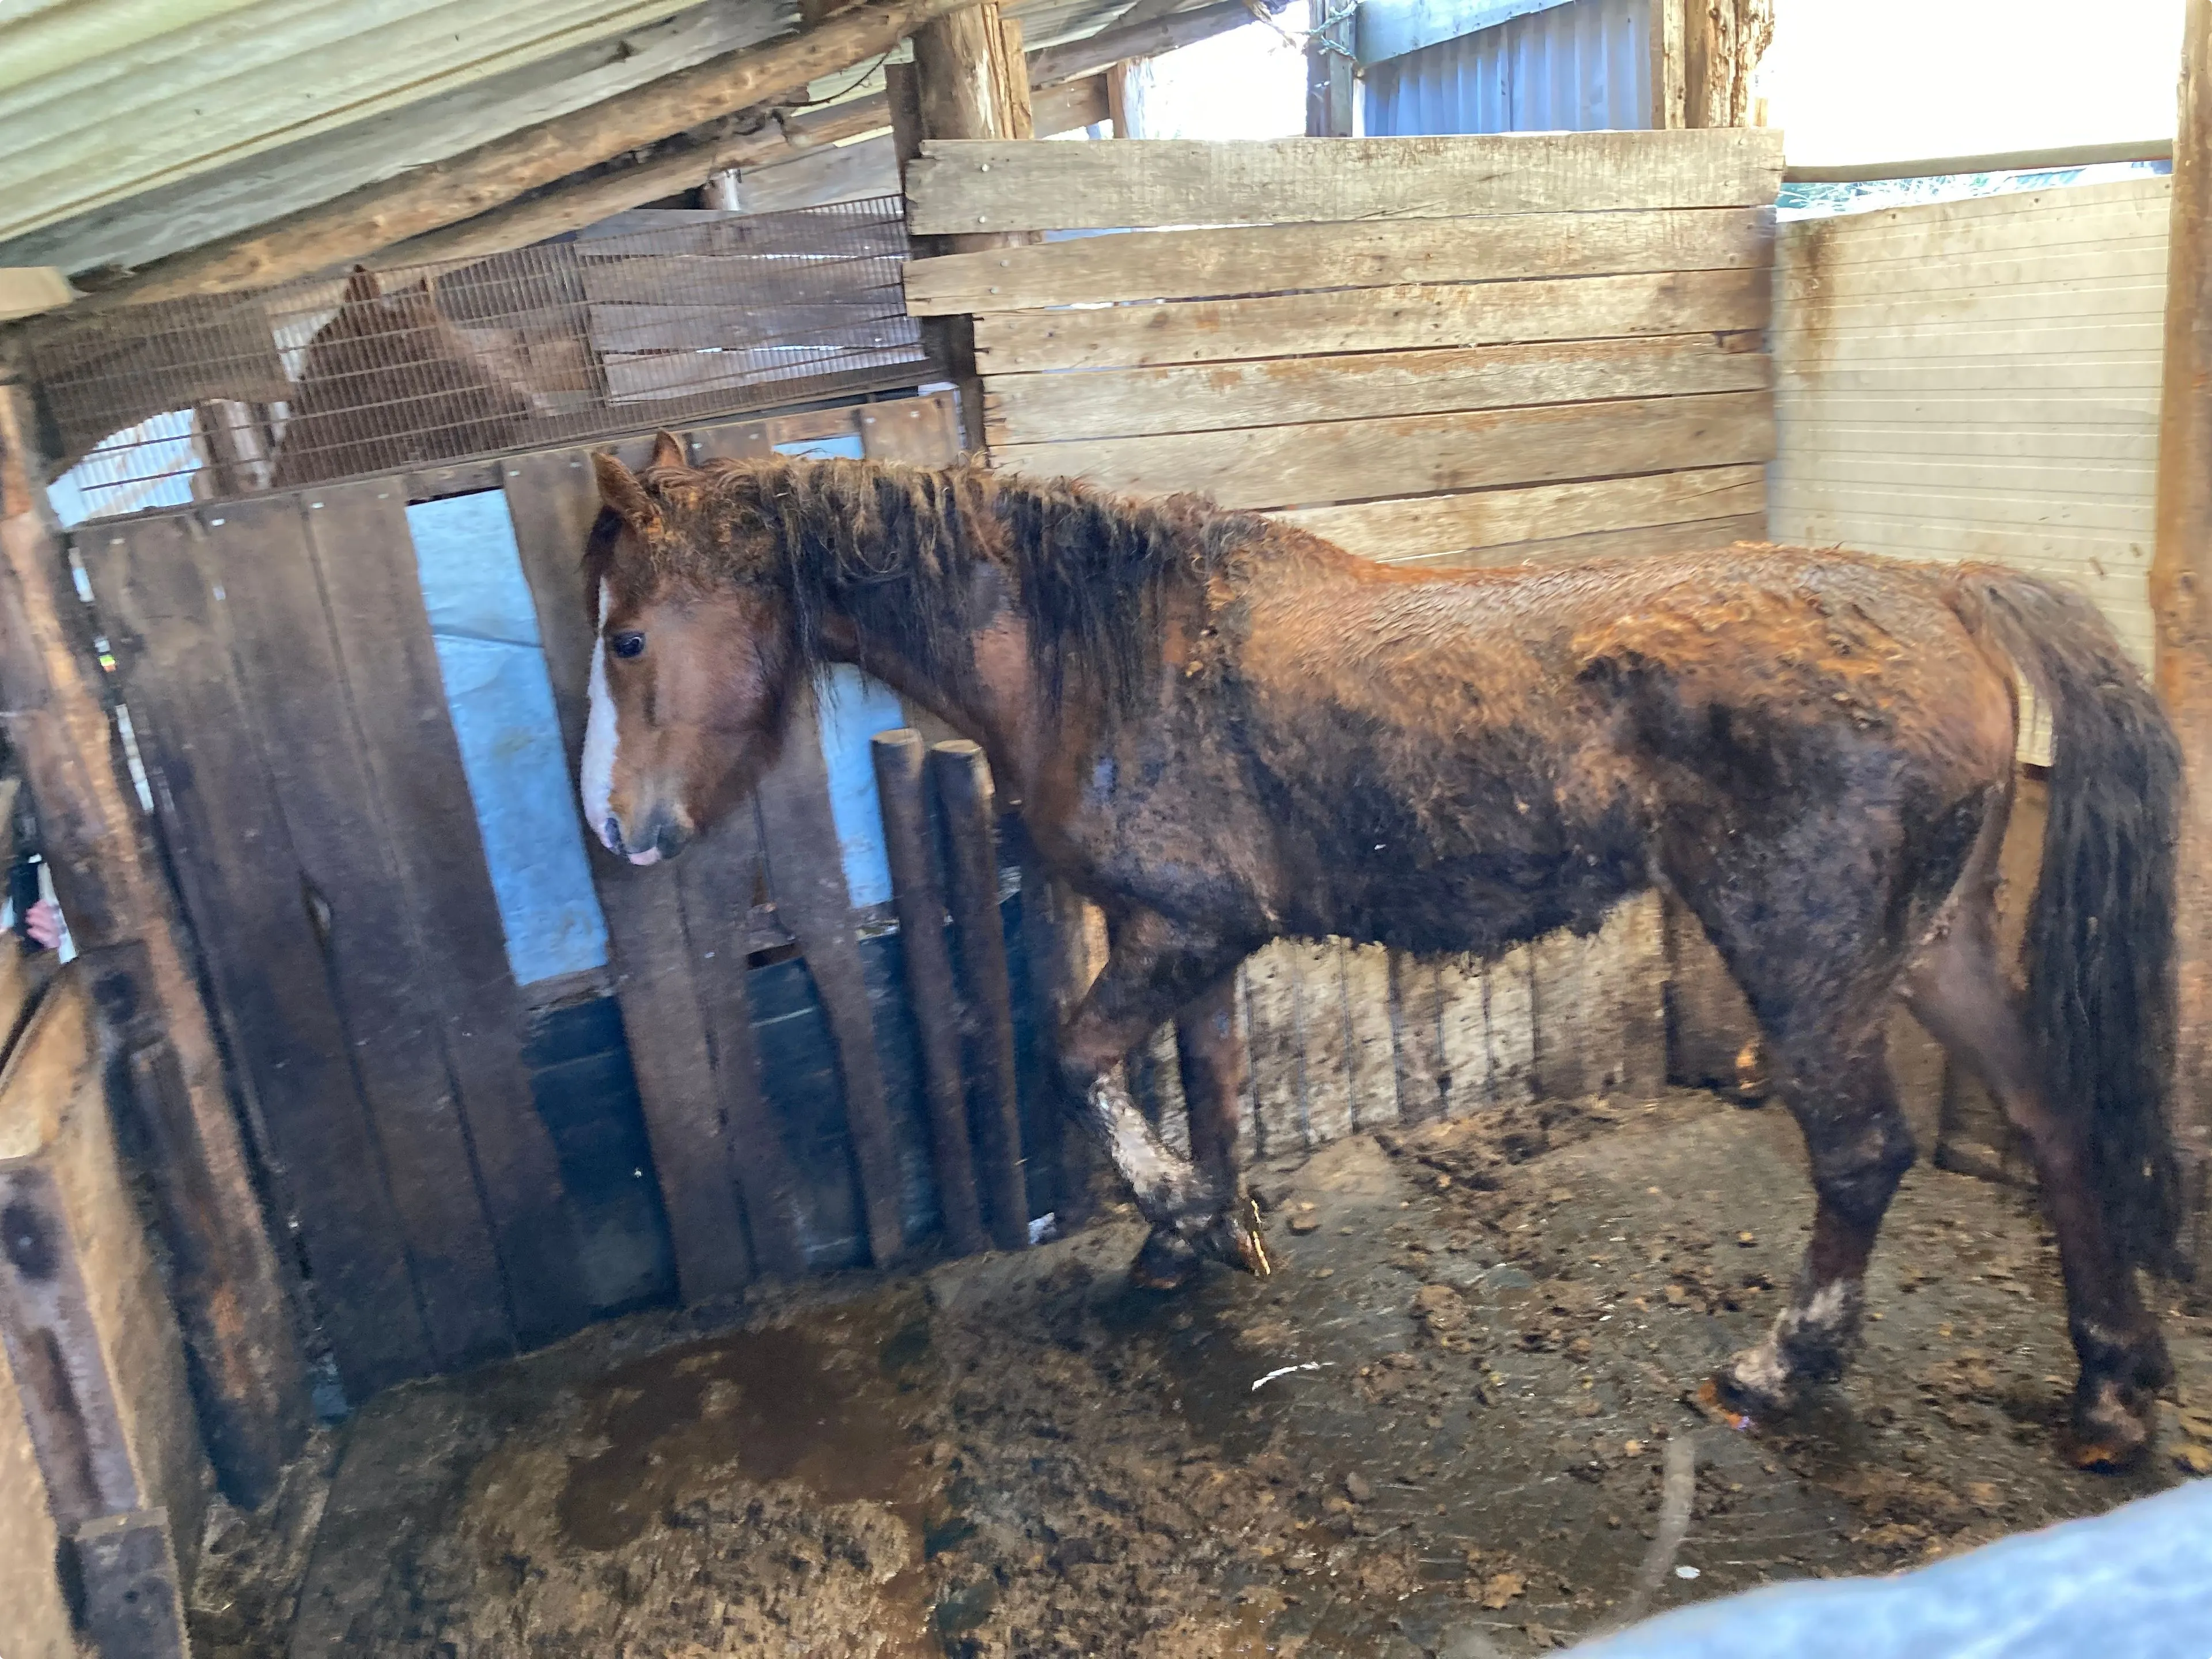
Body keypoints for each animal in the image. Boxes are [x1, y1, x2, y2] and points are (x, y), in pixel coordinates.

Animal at [578, 432, 2182, 1470]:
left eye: (627, 639)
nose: (624, 834)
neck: (1100, 652)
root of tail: (1950, 590)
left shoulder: (1178, 930)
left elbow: (1077, 1057)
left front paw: (1174, 1211)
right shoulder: (1197, 943)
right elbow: (1214, 1083)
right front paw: (1195, 1236)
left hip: (1806, 957)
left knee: (1860, 1152)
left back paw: (1778, 1367)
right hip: (1931, 947)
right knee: (2050, 1119)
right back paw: (2110, 1390)